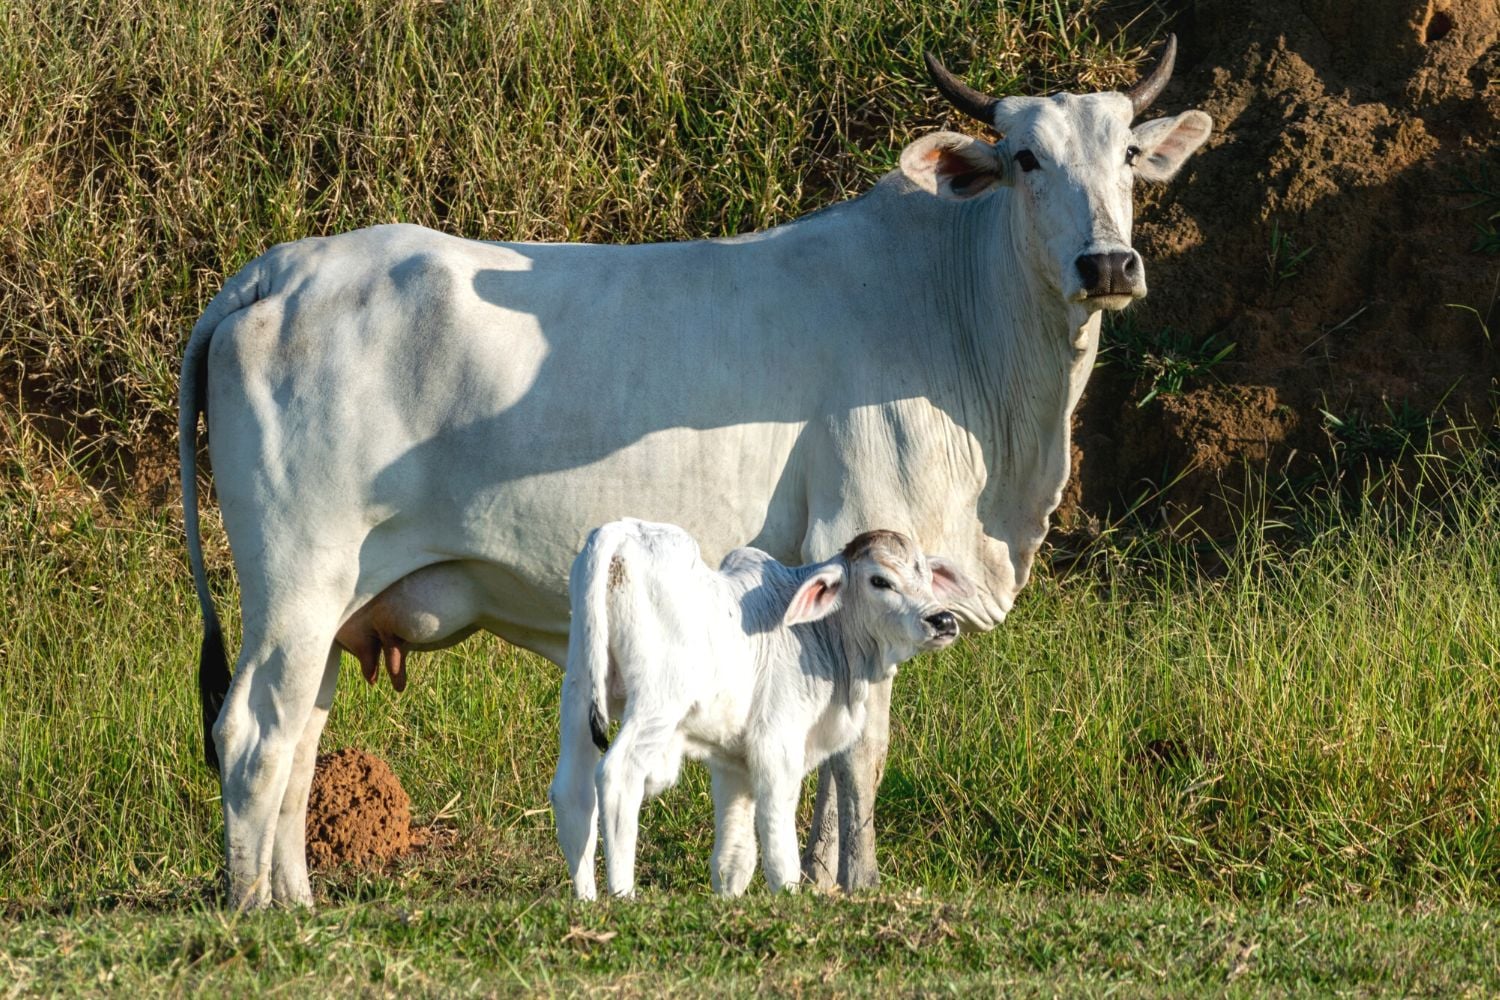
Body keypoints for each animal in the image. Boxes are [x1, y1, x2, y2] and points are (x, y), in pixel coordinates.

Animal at [551, 522, 974, 899]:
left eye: (926, 576)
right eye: (880, 581)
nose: (942, 620)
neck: (825, 636)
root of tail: (620, 533)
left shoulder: (732, 763)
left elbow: (734, 860)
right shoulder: (777, 747)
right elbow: (780, 850)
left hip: (578, 693)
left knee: (572, 792)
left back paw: (586, 900)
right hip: (657, 702)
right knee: (618, 777)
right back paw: (623, 895)